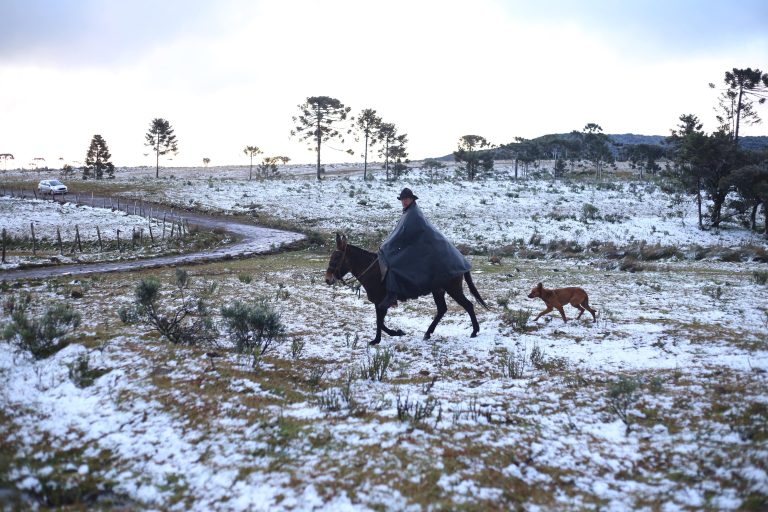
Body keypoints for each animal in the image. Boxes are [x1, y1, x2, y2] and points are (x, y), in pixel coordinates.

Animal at [324, 234, 486, 346]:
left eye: (337, 257)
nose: (327, 279)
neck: (374, 271)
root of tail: (460, 260)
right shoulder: (378, 302)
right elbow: (379, 321)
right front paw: (380, 338)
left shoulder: (383, 301)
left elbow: (379, 321)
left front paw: (394, 334)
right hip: (438, 291)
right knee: (442, 310)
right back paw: (428, 333)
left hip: (453, 289)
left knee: (468, 305)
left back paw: (474, 331)